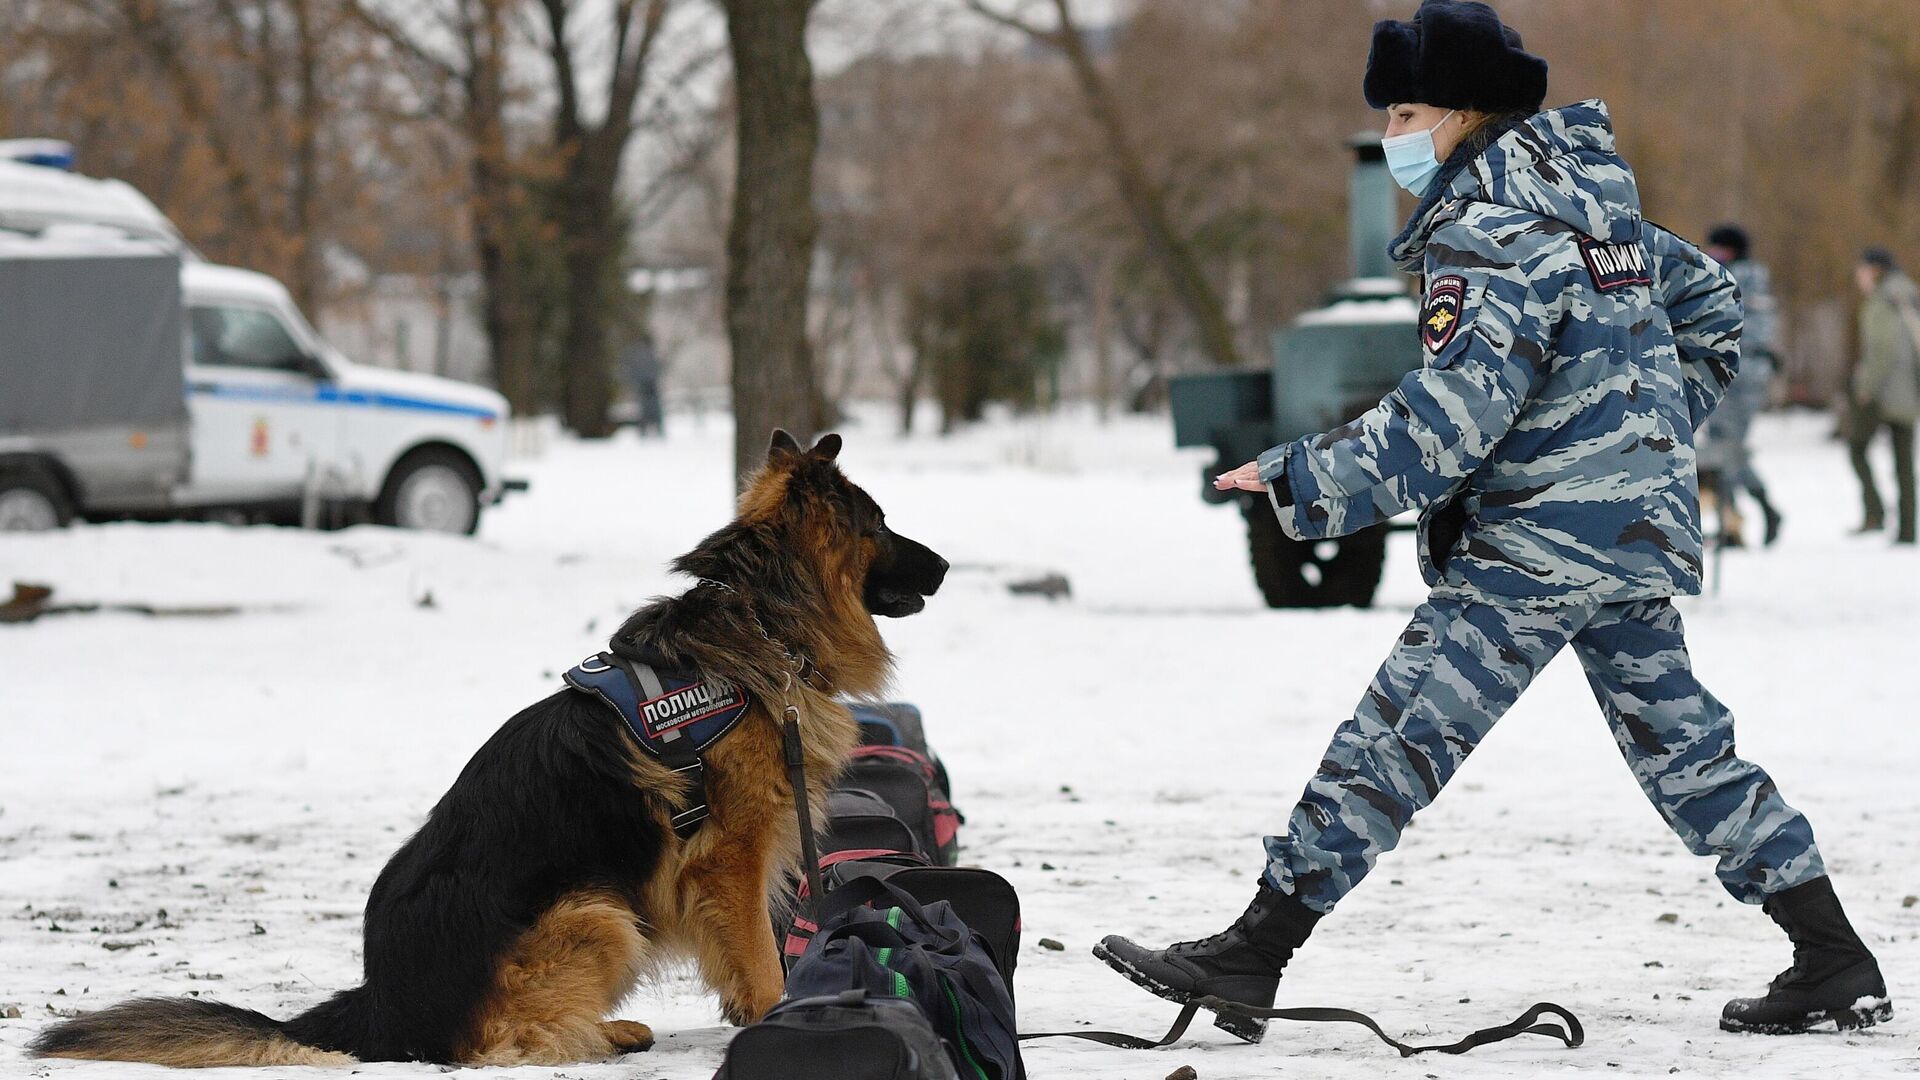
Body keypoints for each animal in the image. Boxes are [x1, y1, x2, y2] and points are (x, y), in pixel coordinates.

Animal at [33, 430, 948, 1068]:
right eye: (880, 524)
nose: (943, 565)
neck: (761, 622)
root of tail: (379, 1000)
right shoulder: (729, 858)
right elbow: (758, 958)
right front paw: (775, 1016)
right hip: (599, 911)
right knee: (493, 1046)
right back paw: (601, 1034)